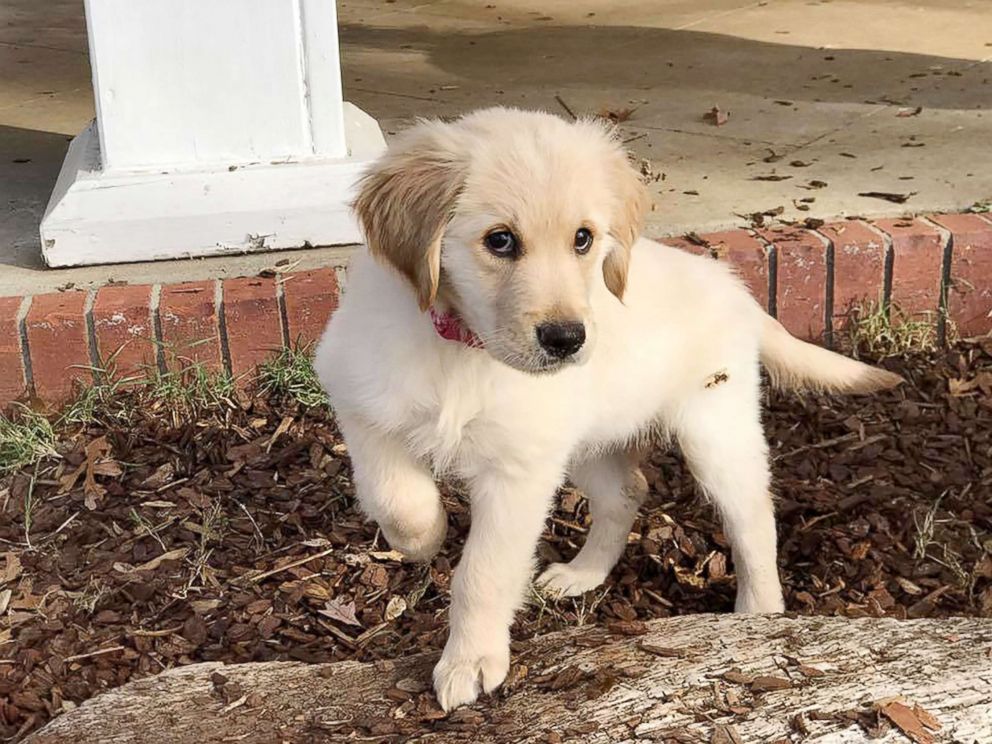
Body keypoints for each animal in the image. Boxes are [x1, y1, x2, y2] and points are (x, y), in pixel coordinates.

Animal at [314, 106, 904, 708]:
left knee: (753, 516)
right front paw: (423, 538)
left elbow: (484, 570)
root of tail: (735, 288)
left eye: (583, 239)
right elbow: (395, 498)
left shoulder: (519, 470)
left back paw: (758, 612)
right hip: (588, 440)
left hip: (715, 428)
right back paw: (583, 575)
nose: (566, 339)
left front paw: (471, 660)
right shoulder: (360, 404)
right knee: (628, 492)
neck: (465, 348)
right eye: (499, 240)